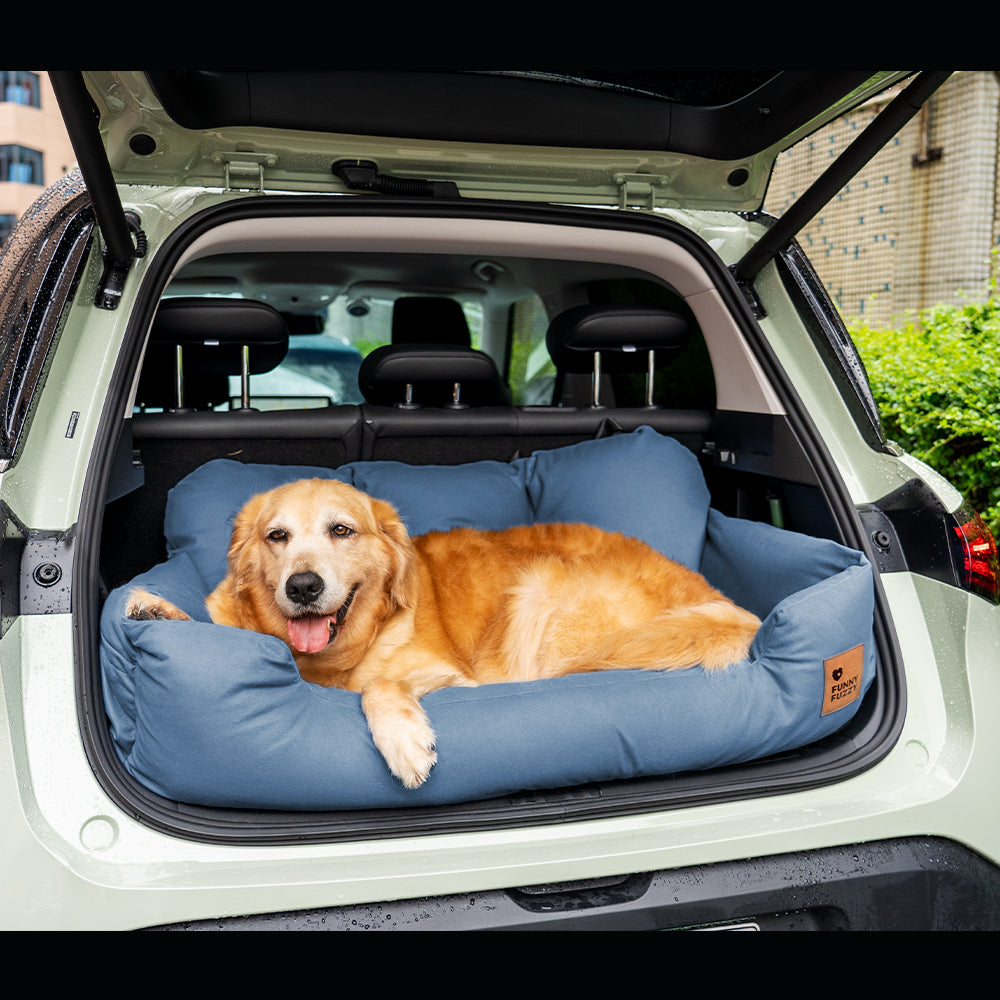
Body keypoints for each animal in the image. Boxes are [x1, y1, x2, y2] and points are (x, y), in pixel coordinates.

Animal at [129, 476, 760, 788]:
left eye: (341, 530)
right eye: (276, 536)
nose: (303, 586)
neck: (325, 660)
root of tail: (729, 606)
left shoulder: (448, 674)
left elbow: (378, 686)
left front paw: (405, 742)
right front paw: (156, 610)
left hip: (540, 594)